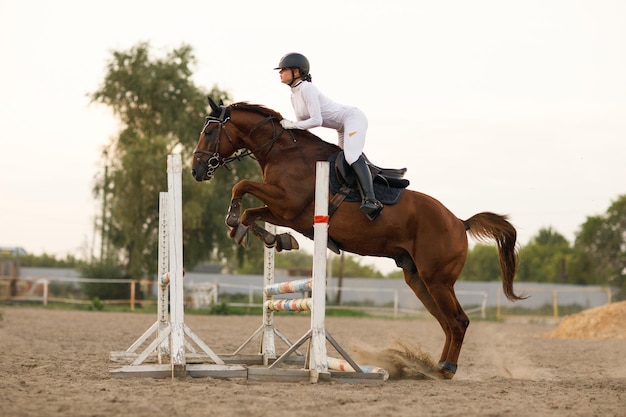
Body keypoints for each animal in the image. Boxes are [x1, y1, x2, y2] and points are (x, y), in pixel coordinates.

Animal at [190, 97, 520, 380]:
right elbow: (251, 213)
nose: (196, 170)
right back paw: (435, 367)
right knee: (447, 322)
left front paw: (237, 222)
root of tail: (459, 223)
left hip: (437, 279)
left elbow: (242, 186)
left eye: (209, 131)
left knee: (458, 320)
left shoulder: (288, 205)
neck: (284, 153)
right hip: (418, 279)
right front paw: (271, 238)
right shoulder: (284, 212)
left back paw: (447, 369)